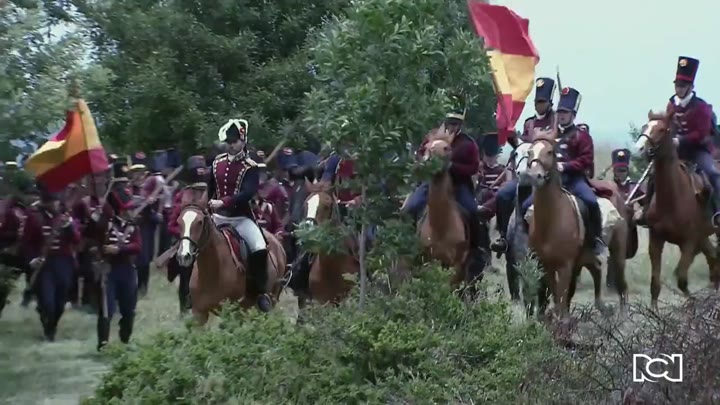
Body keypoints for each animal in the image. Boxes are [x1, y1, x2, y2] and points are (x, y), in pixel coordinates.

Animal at [175, 185, 287, 325]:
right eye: (179, 222)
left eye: (199, 222)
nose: (183, 256)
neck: (212, 270)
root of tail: (278, 243)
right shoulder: (199, 314)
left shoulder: (231, 313)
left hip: (267, 302)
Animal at [522, 134, 628, 318]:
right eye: (529, 152)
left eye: (550, 152)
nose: (535, 176)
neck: (551, 219)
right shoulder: (547, 265)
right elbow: (557, 296)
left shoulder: (565, 266)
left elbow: (562, 296)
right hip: (585, 258)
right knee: (596, 270)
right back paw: (601, 306)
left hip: (617, 253)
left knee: (621, 284)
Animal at [634, 111, 720, 309]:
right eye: (645, 127)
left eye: (662, 129)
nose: (639, 149)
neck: (673, 197)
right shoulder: (656, 239)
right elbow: (655, 282)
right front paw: (654, 311)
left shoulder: (689, 242)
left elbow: (681, 279)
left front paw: (693, 304)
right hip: (703, 237)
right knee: (714, 260)